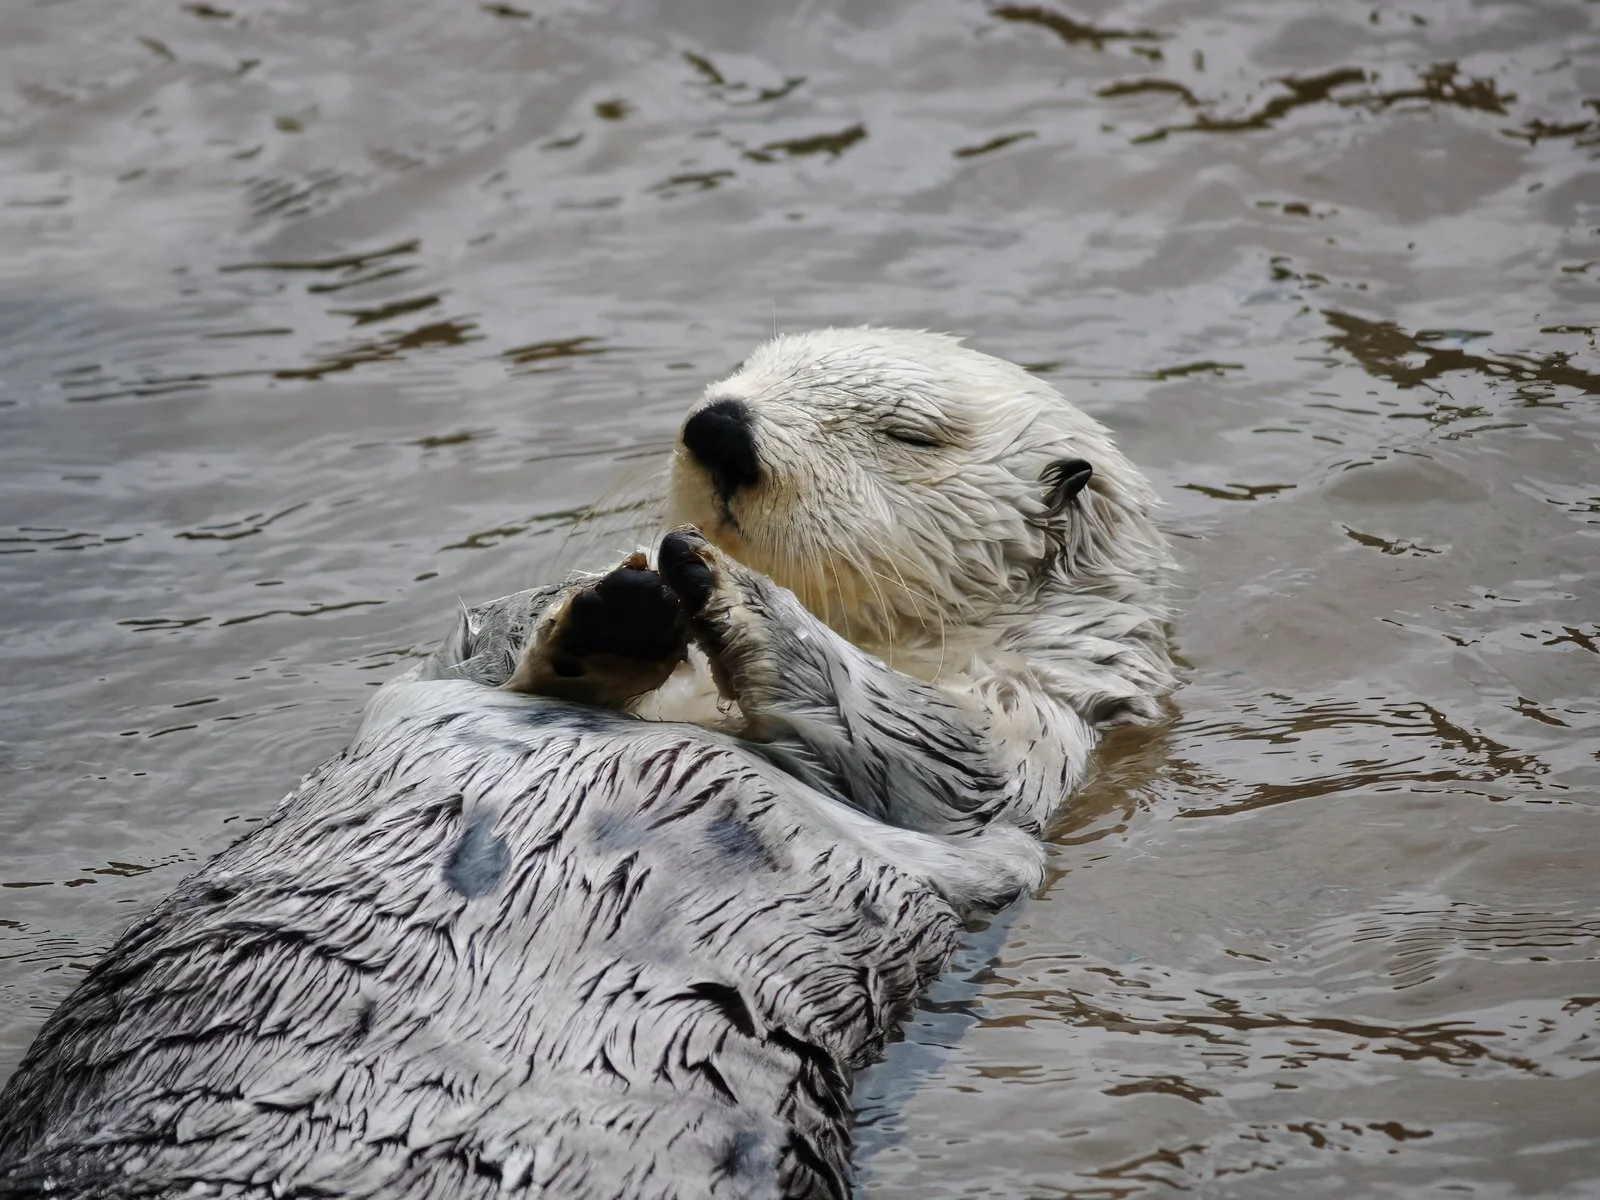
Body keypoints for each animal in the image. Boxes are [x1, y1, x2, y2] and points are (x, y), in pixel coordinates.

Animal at [0, 330, 1175, 1199]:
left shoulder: (1027, 737)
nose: (721, 426)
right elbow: (485, 643)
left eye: (909, 433)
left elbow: (941, 757)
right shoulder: (452, 667)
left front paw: (734, 595)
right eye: (744, 369)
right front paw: (613, 607)